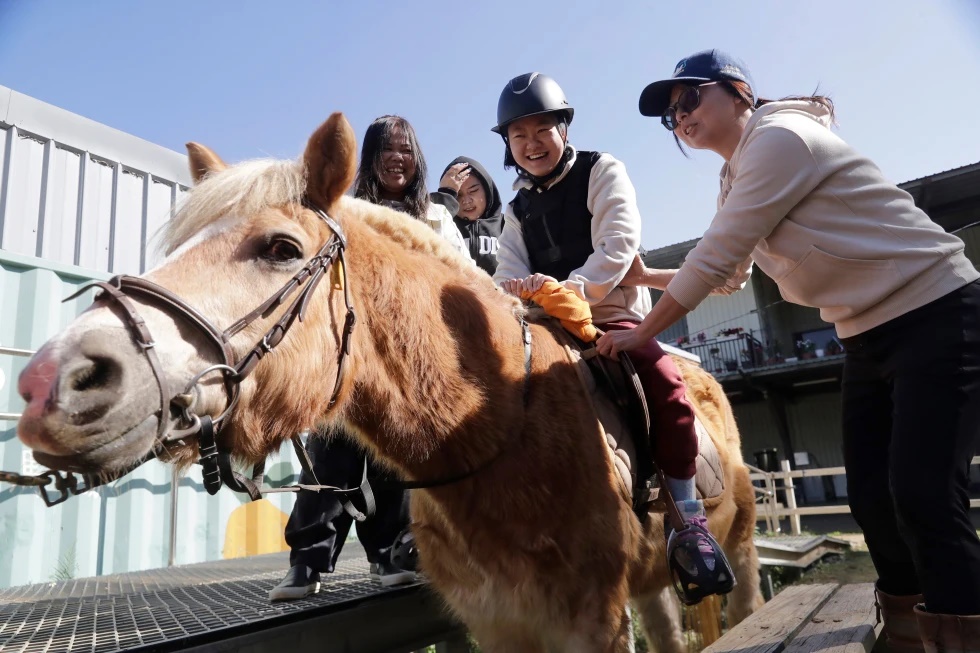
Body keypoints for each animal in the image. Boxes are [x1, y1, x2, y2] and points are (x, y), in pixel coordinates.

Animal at [16, 113, 763, 653]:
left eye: (281, 248)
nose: (52, 382)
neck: (502, 430)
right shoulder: (502, 625)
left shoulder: (590, 621)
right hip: (651, 586)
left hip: (743, 547)